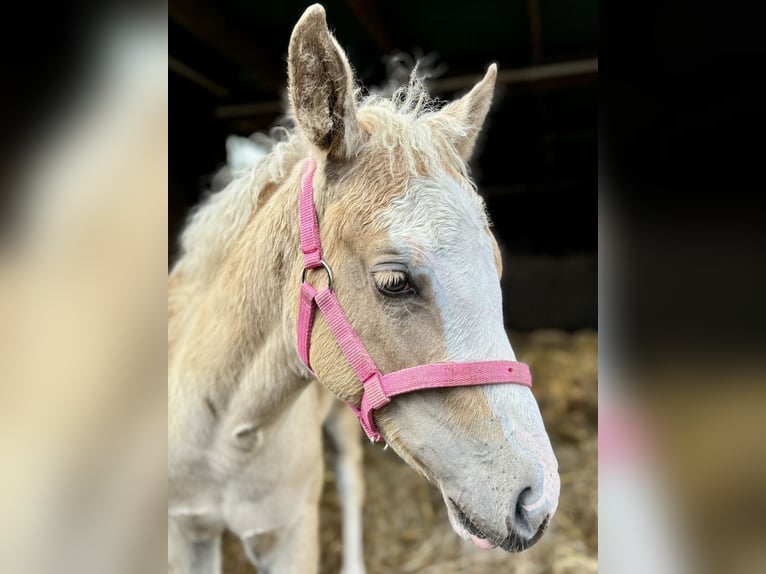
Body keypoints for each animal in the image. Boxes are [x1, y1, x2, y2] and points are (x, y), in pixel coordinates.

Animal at [171, 5, 560, 574]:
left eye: (497, 266)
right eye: (393, 282)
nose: (537, 499)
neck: (228, 431)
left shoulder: (290, 534)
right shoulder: (186, 532)